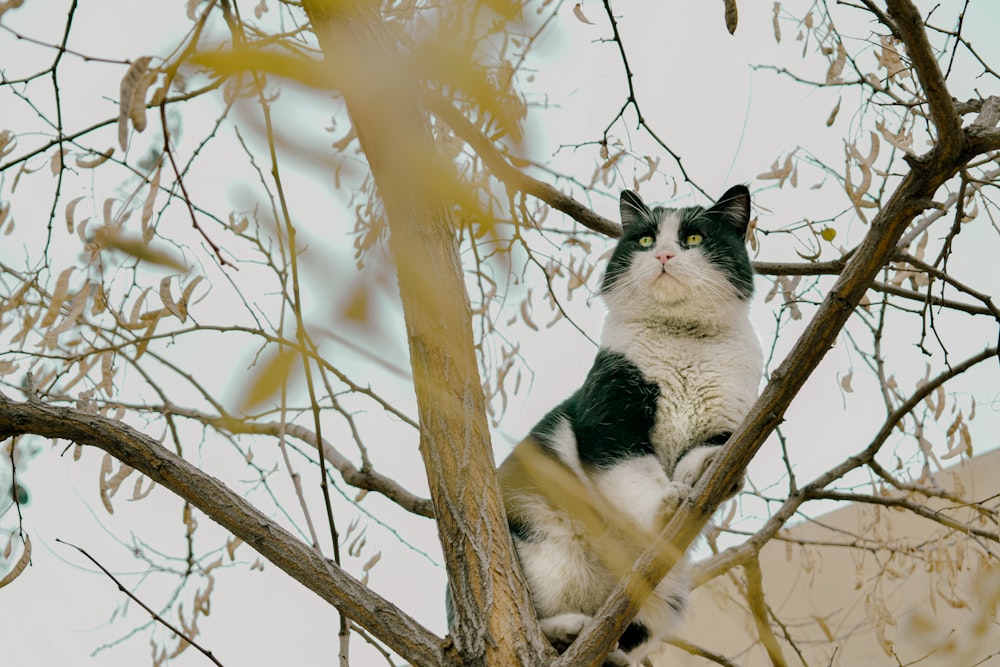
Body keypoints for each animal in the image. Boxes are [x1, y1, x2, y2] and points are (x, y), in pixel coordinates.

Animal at [500, 185, 764, 664]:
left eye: (694, 238)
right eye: (644, 239)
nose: (662, 254)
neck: (682, 340)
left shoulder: (730, 421)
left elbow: (708, 454)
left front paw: (702, 473)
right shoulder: (609, 417)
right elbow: (634, 473)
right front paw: (664, 505)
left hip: (670, 594)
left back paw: (613, 654)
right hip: (544, 540)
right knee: (539, 620)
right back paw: (567, 632)